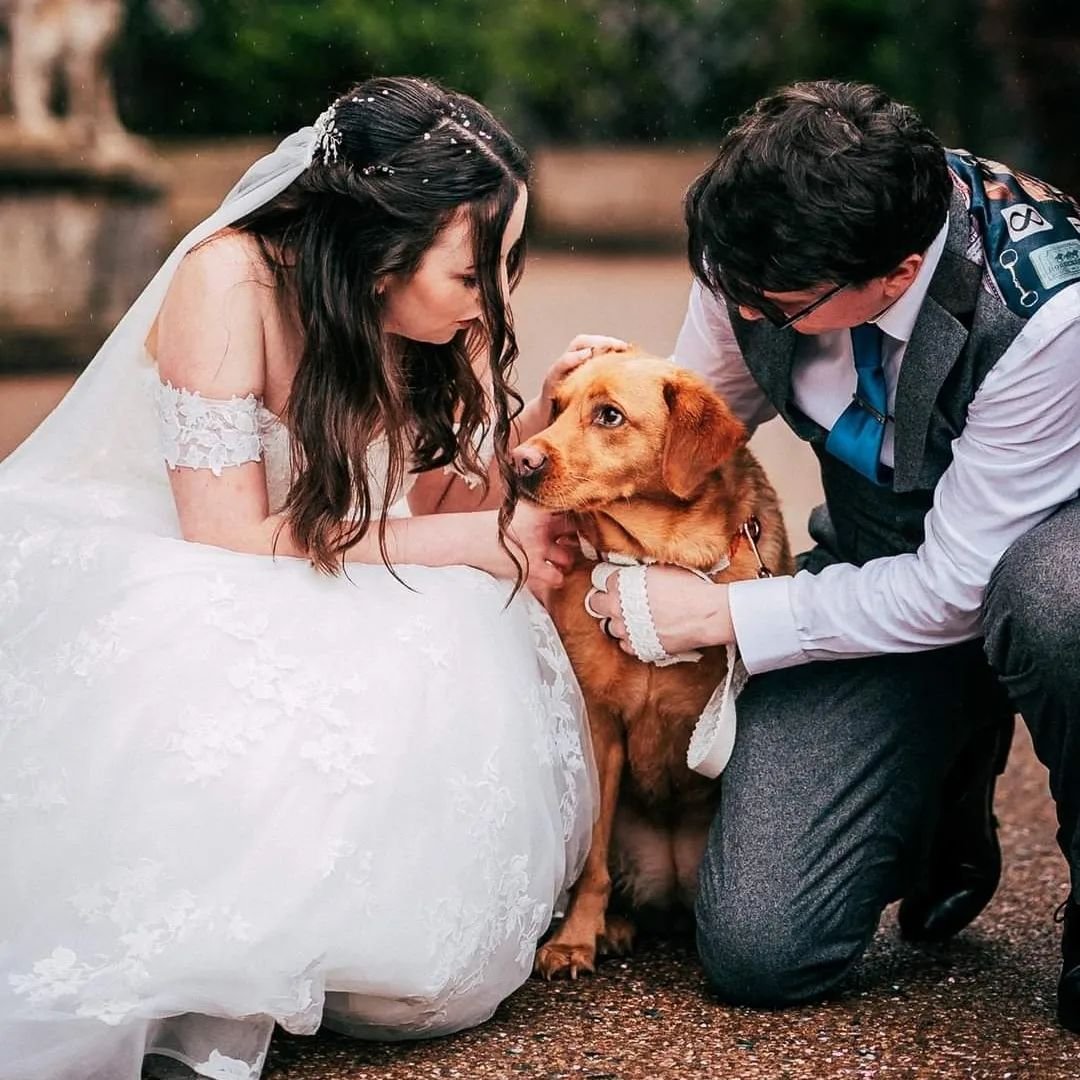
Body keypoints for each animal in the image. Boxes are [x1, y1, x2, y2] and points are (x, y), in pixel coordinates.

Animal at [509, 345, 799, 980]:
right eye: (556, 407)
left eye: (609, 416)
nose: (517, 462)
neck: (653, 558)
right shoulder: (599, 727)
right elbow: (591, 863)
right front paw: (577, 939)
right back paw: (615, 927)